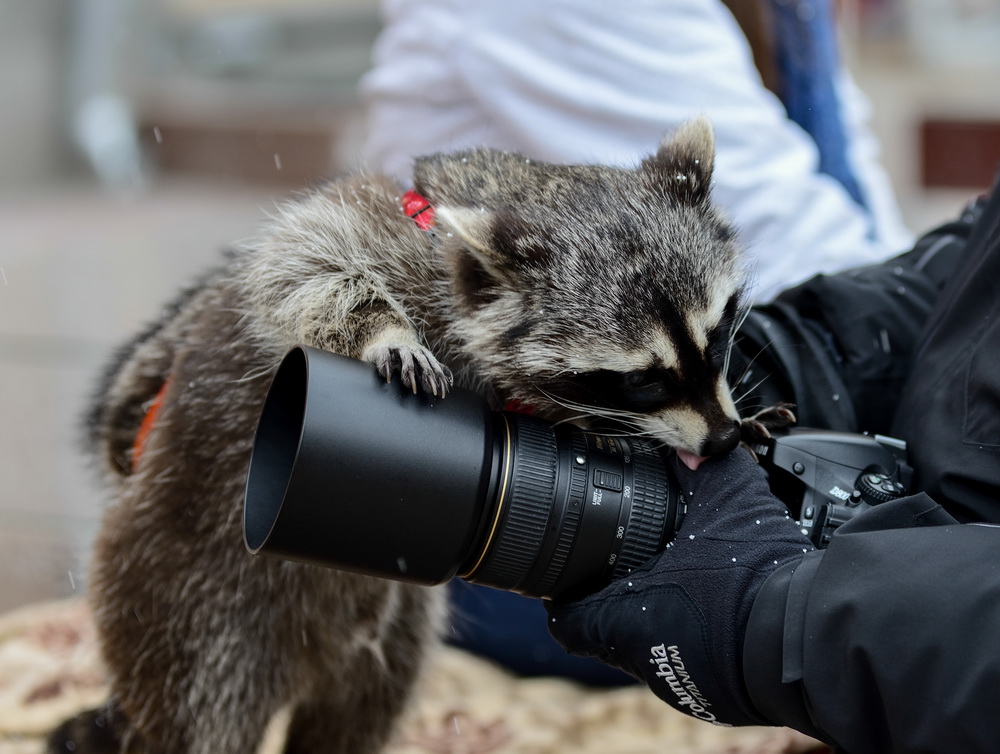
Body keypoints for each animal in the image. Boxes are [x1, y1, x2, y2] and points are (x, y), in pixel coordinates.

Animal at [52, 119, 788, 752]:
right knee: (200, 708)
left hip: (389, 636)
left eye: (718, 333)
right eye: (640, 379)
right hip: (185, 604)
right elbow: (298, 262)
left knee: (362, 712)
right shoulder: (368, 221)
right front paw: (383, 328)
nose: (722, 440)